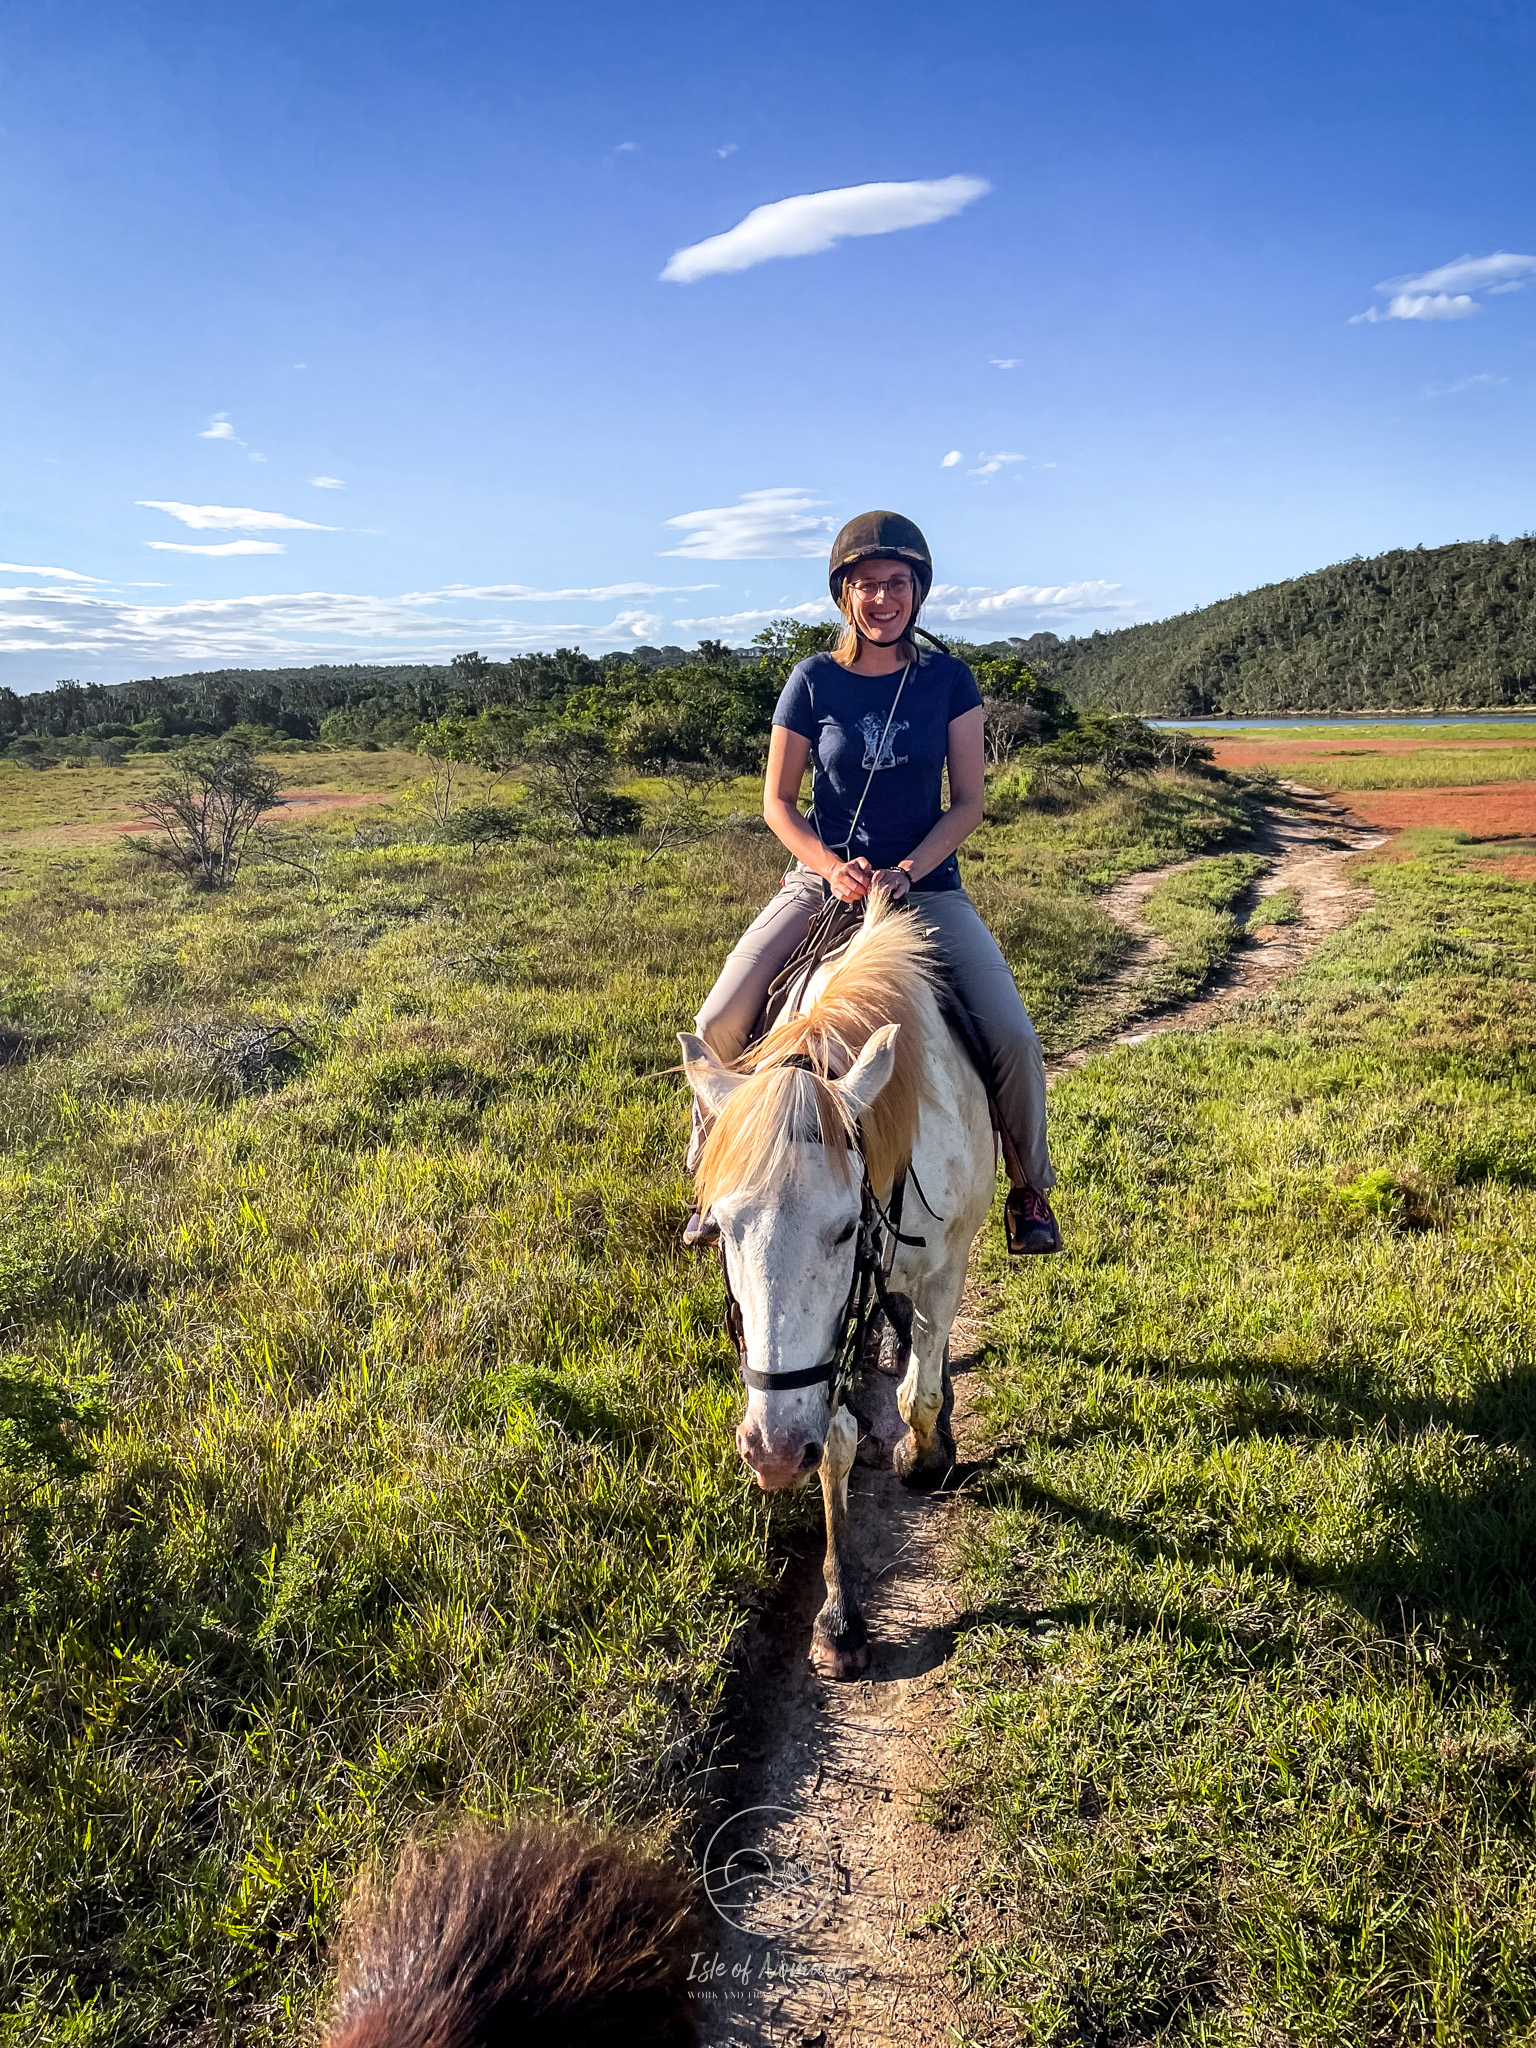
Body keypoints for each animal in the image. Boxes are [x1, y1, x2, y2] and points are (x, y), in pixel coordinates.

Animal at [680, 894, 995, 1679]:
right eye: (722, 1227)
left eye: (846, 1226)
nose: (771, 1454)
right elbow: (837, 1439)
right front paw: (839, 1615)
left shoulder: (948, 1266)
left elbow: (923, 1392)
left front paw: (924, 1457)